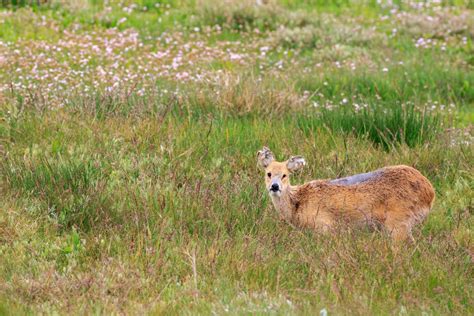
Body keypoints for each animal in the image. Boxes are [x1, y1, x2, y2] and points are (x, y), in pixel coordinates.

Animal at [258, 147, 436, 241]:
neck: (298, 202)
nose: (275, 186)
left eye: (285, 175)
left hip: (399, 221)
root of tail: (430, 192)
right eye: (268, 173)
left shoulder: (324, 226)